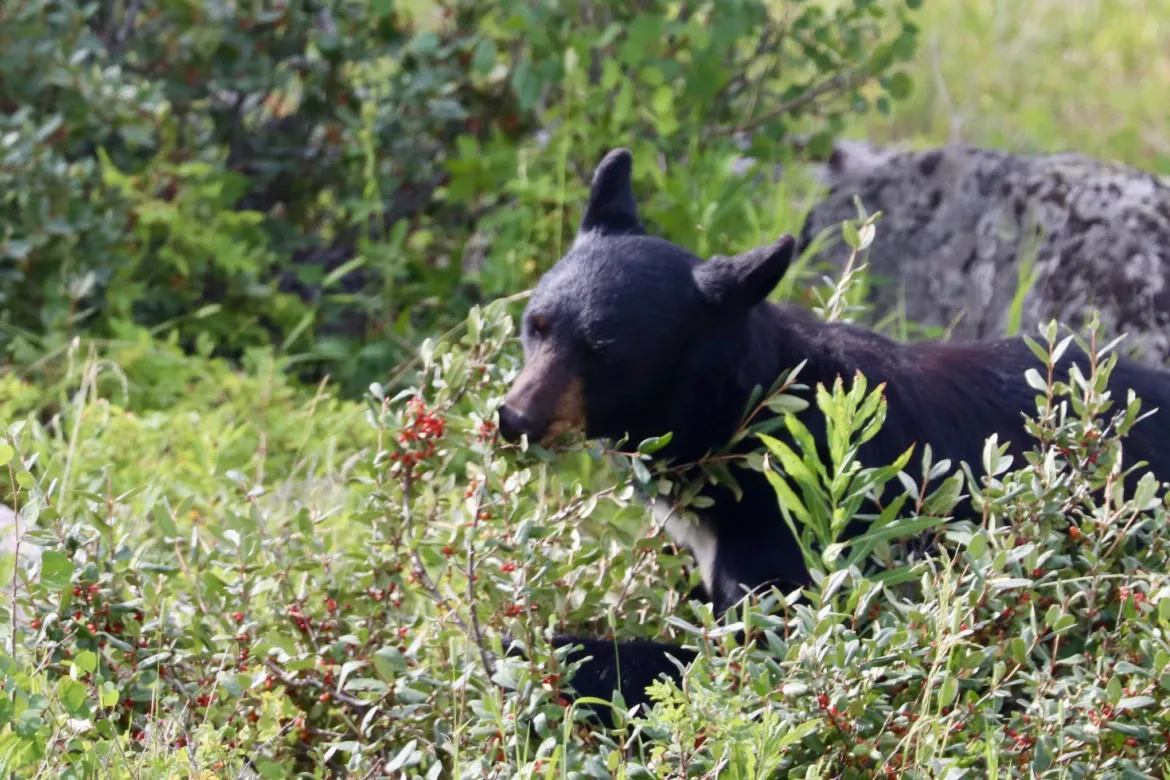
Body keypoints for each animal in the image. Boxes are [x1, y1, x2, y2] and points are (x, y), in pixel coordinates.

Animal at [496, 147, 1170, 724]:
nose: (514, 417)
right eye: (536, 324)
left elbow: (749, 654)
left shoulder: (798, 526)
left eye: (603, 351)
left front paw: (537, 653)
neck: (739, 417)